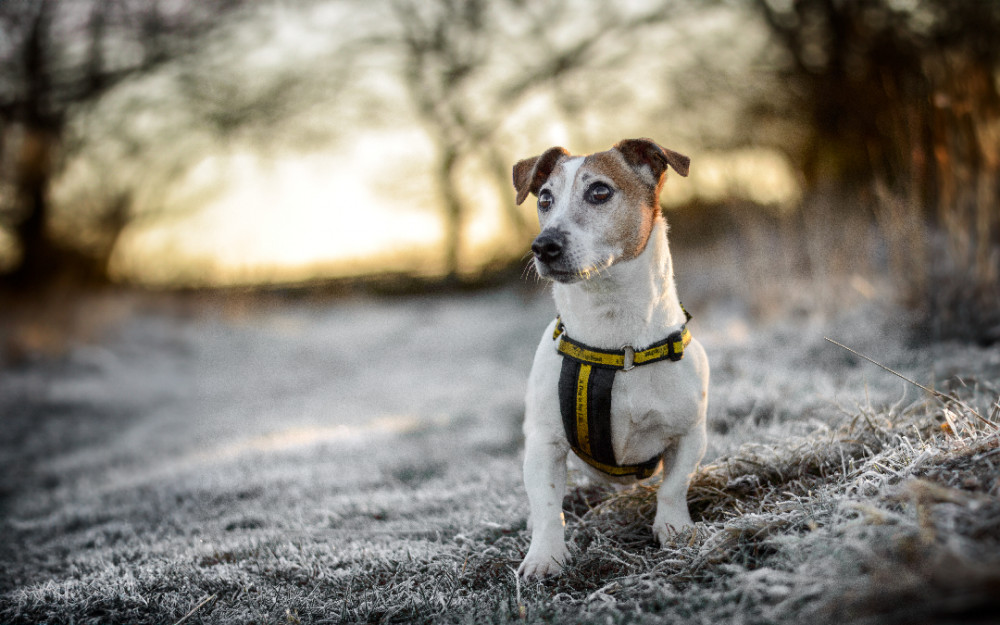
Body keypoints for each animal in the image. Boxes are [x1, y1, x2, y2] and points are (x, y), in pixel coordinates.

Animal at [512, 139, 708, 576]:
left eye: (599, 191)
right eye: (545, 198)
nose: (543, 245)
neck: (616, 340)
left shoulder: (690, 434)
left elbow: (673, 486)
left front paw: (674, 529)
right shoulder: (544, 442)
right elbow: (548, 504)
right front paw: (545, 556)